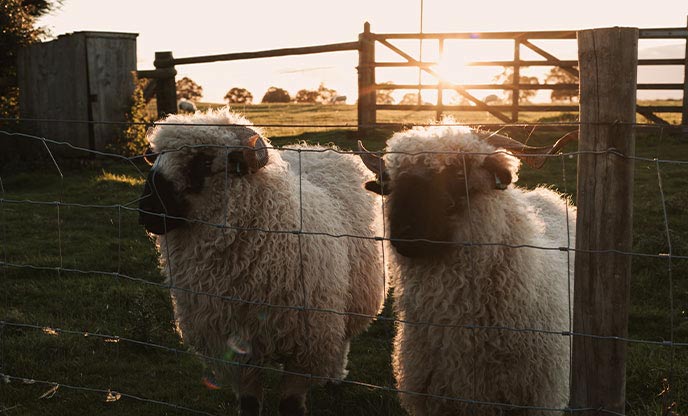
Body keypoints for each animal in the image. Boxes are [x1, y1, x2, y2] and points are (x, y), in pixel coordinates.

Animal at [138, 109, 388, 414]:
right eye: (155, 157)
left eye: (204, 161)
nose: (147, 211)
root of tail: (316, 148)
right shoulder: (237, 352)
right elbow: (249, 403)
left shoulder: (306, 348)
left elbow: (290, 404)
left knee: (343, 339)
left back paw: (335, 376)